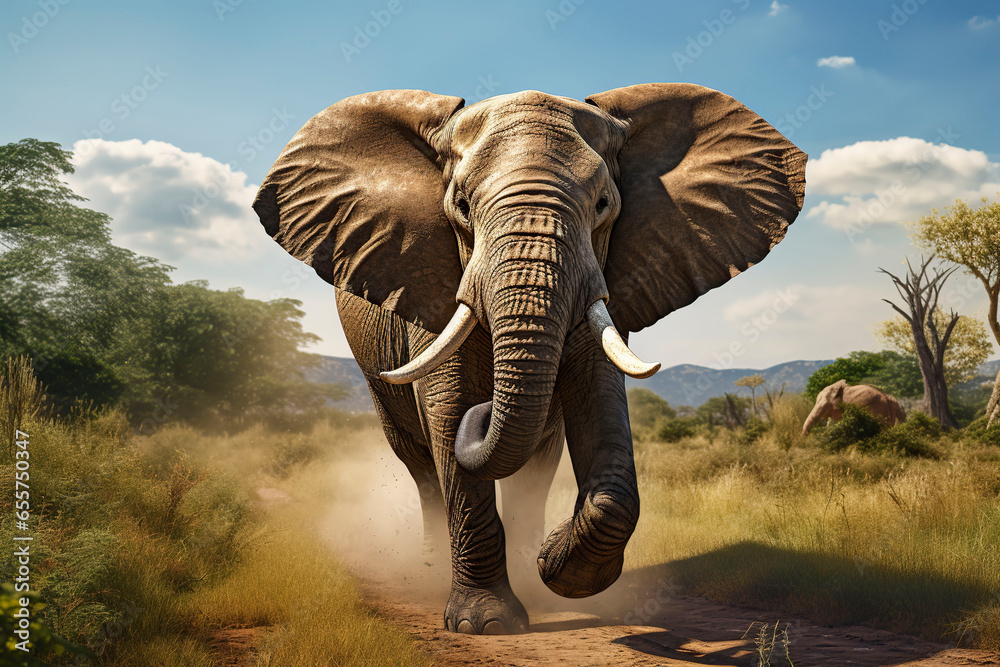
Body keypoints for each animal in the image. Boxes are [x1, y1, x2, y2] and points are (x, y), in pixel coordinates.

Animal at [253, 83, 806, 634]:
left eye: (603, 204)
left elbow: (597, 402)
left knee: (535, 466)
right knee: (421, 462)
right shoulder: (426, 282)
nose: (486, 411)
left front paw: (556, 568)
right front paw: (486, 624)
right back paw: (428, 572)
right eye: (461, 206)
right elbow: (449, 411)